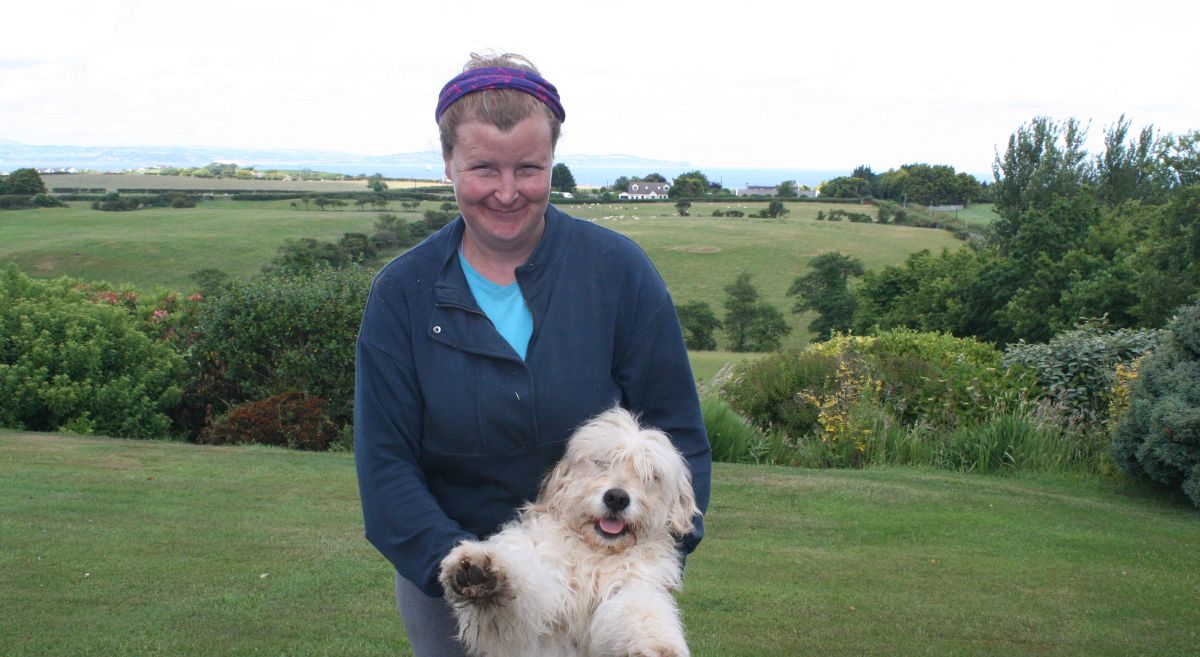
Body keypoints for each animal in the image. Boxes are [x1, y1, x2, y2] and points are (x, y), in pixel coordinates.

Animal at [441, 405, 700, 657]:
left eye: (651, 475)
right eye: (601, 462)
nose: (617, 498)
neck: (595, 553)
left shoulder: (633, 583)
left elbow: (641, 610)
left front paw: (659, 646)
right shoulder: (548, 586)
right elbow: (524, 580)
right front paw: (482, 571)